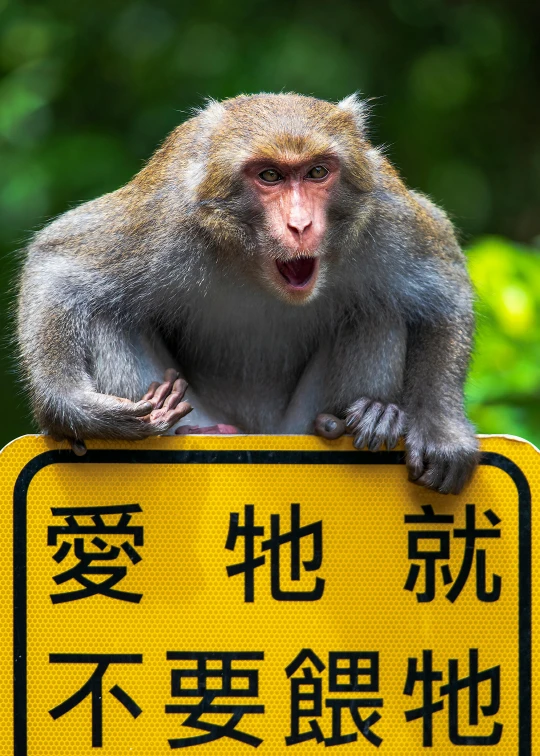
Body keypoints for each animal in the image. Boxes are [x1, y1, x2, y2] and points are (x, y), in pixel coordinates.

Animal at [16, 93, 478, 496]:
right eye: (270, 175)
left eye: (317, 172)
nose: (300, 225)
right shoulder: (163, 218)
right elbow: (58, 263)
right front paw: (72, 407)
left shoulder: (385, 212)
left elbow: (444, 293)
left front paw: (441, 430)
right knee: (106, 314)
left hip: (294, 425)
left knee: (378, 308)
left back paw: (365, 418)